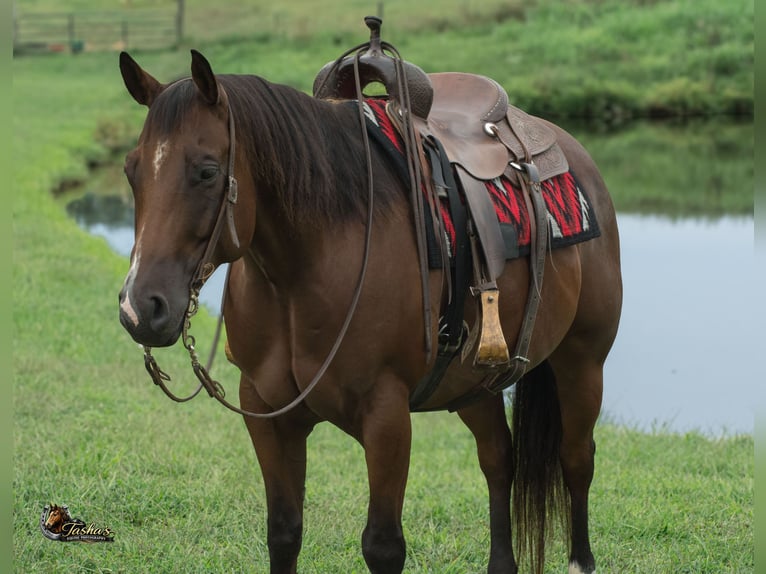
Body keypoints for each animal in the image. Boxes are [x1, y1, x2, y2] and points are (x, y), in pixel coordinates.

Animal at [117, 48, 622, 574]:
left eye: (208, 171)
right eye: (131, 171)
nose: (141, 307)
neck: (303, 268)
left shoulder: (386, 416)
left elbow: (382, 545)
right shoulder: (265, 410)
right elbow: (284, 532)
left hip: (582, 362)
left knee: (576, 458)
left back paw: (581, 560)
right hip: (475, 383)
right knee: (498, 459)